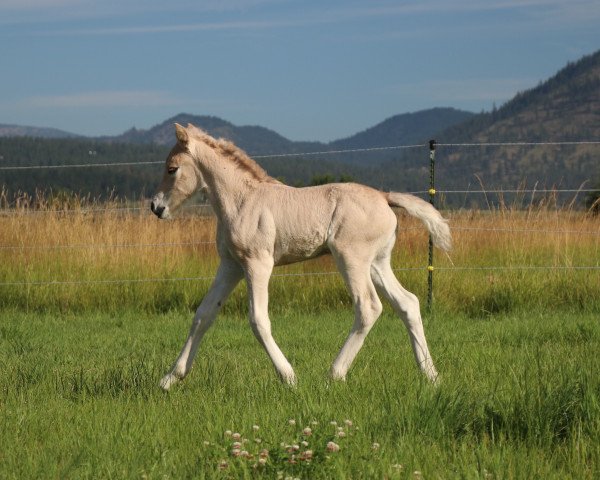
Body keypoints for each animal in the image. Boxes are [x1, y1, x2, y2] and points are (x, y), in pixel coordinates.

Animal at [150, 124, 450, 390]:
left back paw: (334, 375)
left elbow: (258, 319)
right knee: (408, 303)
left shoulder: (258, 263)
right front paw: (170, 379)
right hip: (377, 263)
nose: (156, 207)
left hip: (351, 258)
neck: (242, 201)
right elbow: (204, 314)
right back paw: (431, 376)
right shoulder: (231, 265)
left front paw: (289, 377)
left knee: (368, 307)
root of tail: (384, 197)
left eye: (172, 169)